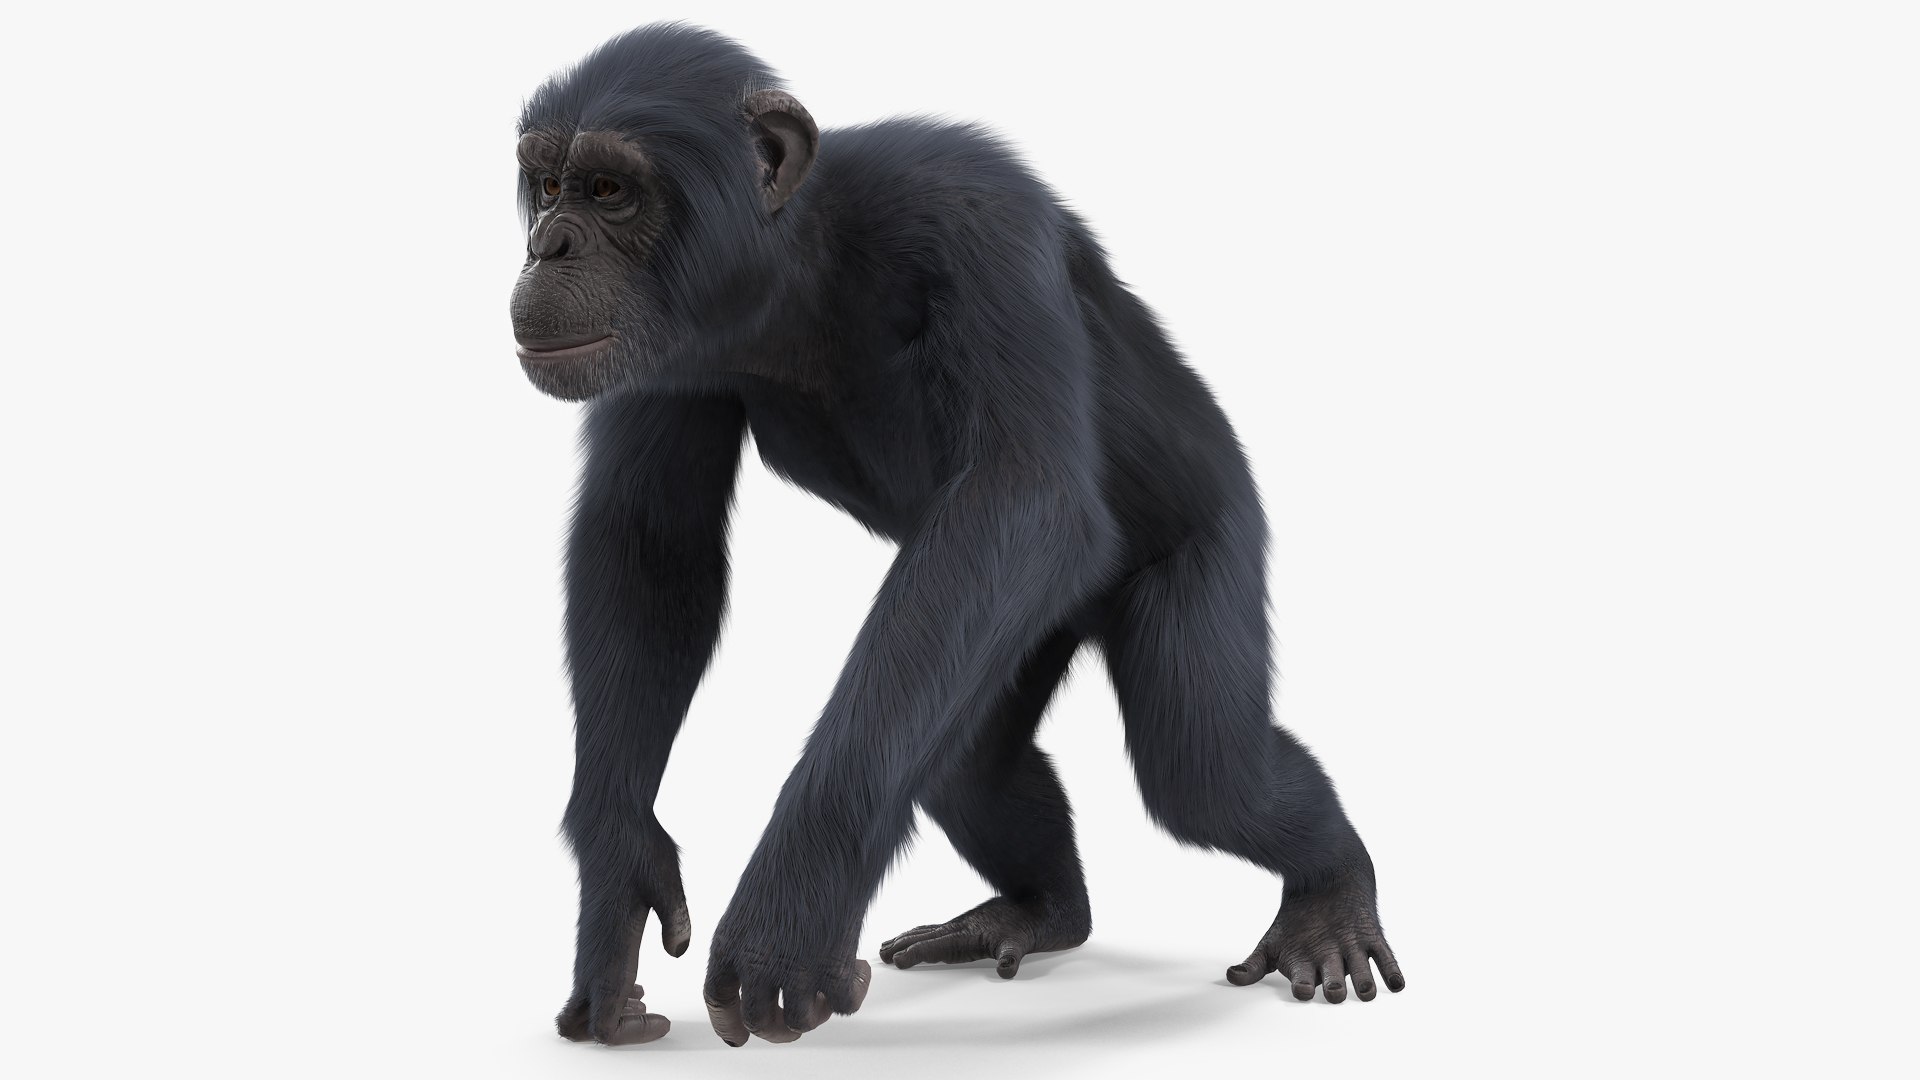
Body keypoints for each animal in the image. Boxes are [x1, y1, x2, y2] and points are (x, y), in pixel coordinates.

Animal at [510, 23, 1404, 1048]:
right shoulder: (658, 346)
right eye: (546, 183)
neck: (796, 270)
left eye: (608, 190)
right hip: (1014, 632)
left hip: (1208, 532)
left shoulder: (970, 212)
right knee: (971, 768)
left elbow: (1024, 493)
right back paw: (1040, 910)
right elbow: (652, 551)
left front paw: (790, 912)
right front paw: (618, 878)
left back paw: (1330, 897)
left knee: (1206, 770)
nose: (547, 243)